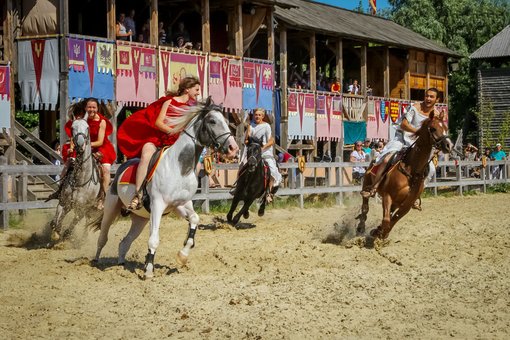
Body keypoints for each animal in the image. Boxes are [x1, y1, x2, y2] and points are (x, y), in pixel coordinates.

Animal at [91, 98, 239, 278]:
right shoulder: (158, 205)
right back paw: (96, 261)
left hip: (140, 219)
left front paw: (183, 255)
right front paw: (148, 271)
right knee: (102, 237)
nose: (233, 148)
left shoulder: (180, 205)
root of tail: (121, 167)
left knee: (125, 242)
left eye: (225, 120)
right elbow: (154, 240)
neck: (180, 167)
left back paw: (121, 265)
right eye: (212, 121)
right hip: (111, 208)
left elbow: (194, 220)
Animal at [356, 111, 452, 239]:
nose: (448, 145)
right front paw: (378, 232)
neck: (411, 170)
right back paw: (361, 225)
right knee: (365, 206)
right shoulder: (387, 196)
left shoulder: (406, 205)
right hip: (367, 183)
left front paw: (379, 232)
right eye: (433, 128)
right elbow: (386, 220)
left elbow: (392, 221)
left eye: (445, 128)